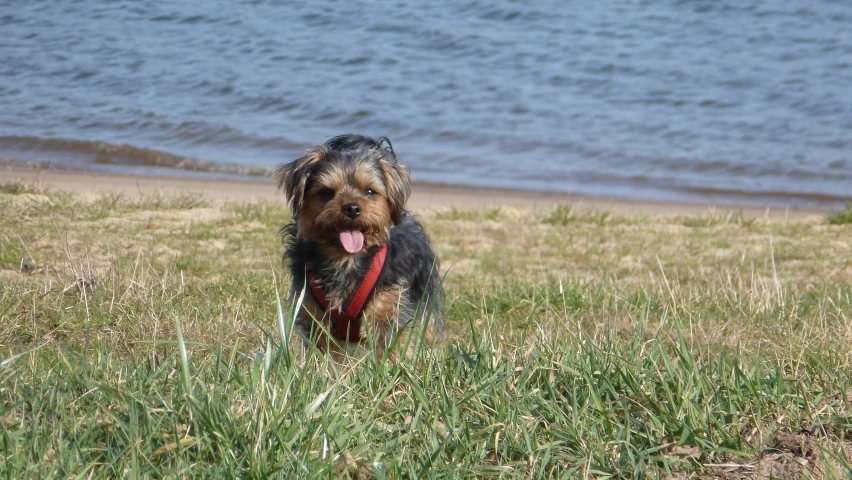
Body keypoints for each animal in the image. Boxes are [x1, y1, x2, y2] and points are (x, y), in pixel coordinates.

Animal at [276, 135, 446, 360]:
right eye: (327, 192)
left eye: (370, 192)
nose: (352, 207)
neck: (346, 259)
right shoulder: (312, 312)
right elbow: (321, 352)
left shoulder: (389, 306)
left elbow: (392, 345)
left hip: (426, 293)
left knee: (430, 327)